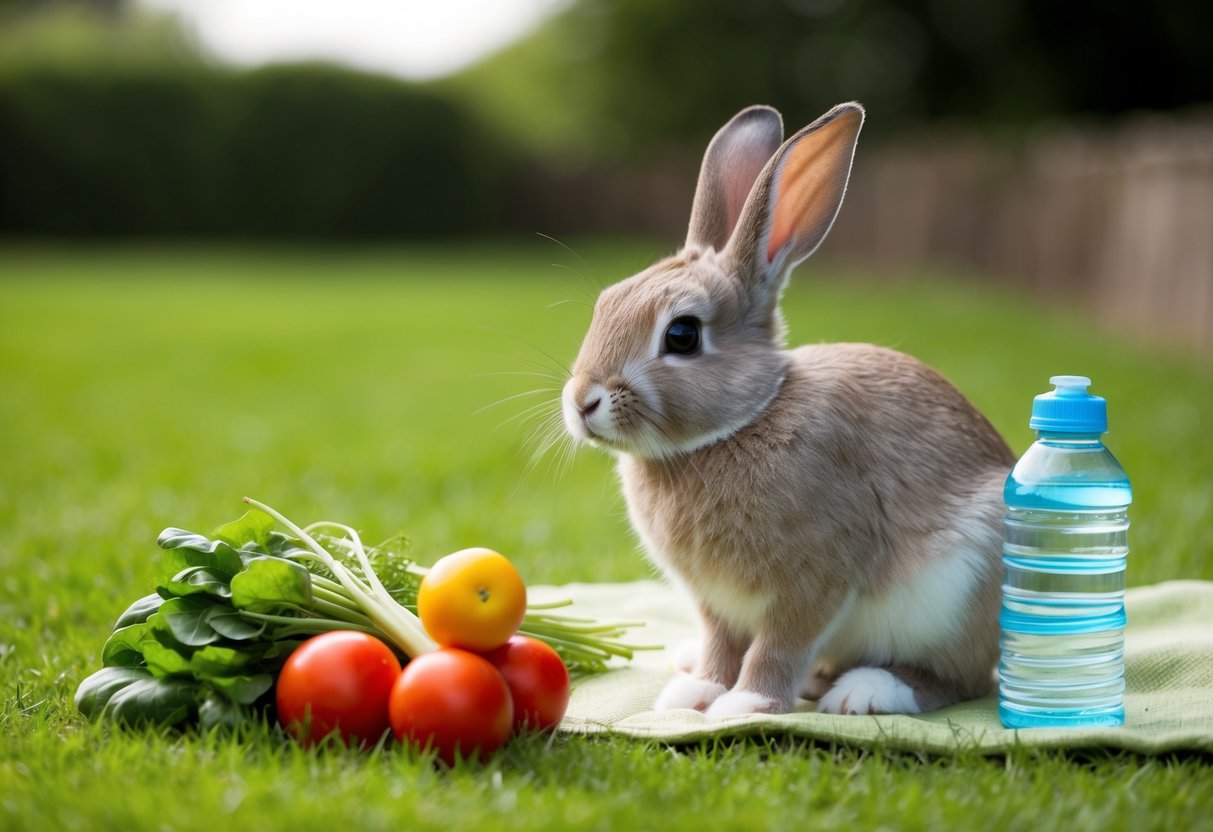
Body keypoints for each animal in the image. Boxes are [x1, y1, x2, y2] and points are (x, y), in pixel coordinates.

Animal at [560, 102, 1016, 718]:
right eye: (606, 303)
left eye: (682, 335)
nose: (582, 402)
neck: (743, 421)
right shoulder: (715, 602)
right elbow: (721, 644)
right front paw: (695, 693)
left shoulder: (815, 577)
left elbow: (778, 645)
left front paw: (746, 705)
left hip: (959, 590)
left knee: (962, 682)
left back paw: (864, 692)